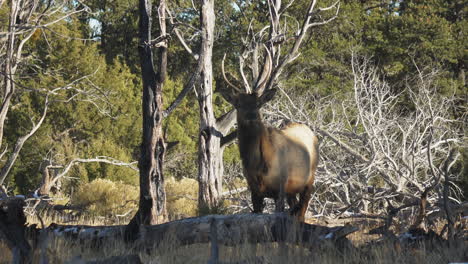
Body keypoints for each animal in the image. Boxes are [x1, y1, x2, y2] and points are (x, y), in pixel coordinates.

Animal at [219, 87, 318, 222]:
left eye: (258, 104)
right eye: (238, 104)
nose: (252, 116)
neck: (257, 167)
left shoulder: (280, 188)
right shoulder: (254, 191)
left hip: (309, 179)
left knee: (302, 210)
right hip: (291, 190)